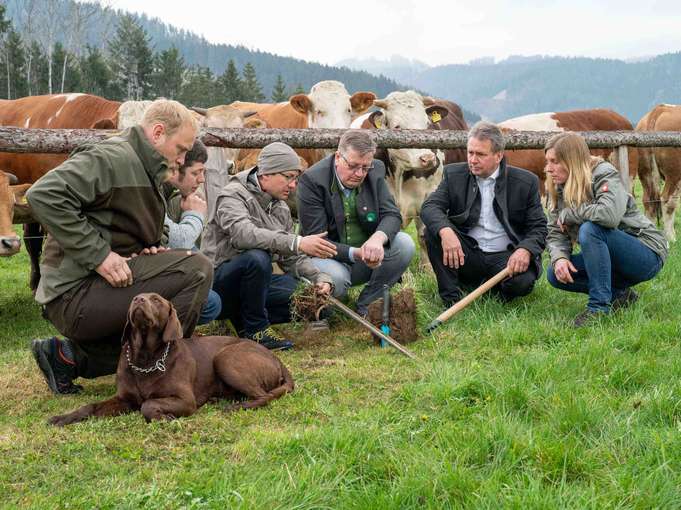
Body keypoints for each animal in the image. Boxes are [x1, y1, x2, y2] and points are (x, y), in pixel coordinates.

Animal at [350, 90, 468, 264]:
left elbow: (423, 236)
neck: (400, 174)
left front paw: (427, 267)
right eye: (398, 127)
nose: (428, 158)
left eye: (427, 125)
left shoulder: (429, 195)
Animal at [636, 104, 680, 242]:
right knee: (667, 201)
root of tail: (659, 109)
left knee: (648, 201)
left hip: (646, 173)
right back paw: (671, 237)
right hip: (674, 174)